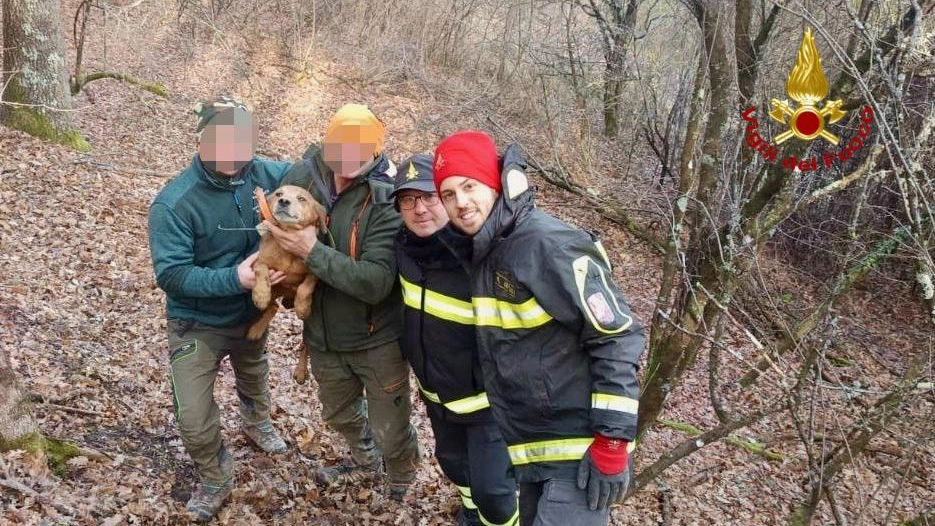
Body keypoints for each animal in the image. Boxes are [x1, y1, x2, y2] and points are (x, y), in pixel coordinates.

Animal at [247, 186, 328, 384]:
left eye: (302, 198)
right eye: (279, 194)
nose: (283, 201)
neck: (287, 250)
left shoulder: (314, 271)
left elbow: (305, 287)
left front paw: (302, 306)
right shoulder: (259, 262)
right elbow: (261, 270)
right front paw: (260, 295)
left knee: (305, 344)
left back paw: (300, 371)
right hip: (276, 289)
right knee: (273, 307)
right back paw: (256, 329)